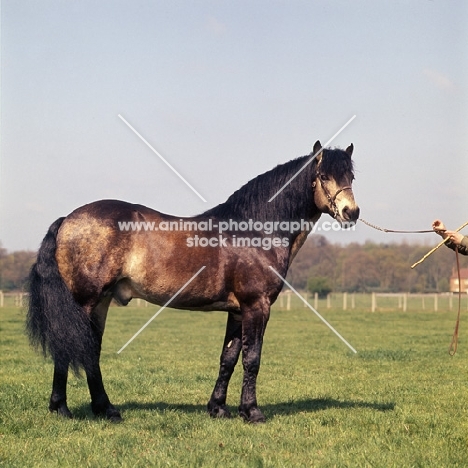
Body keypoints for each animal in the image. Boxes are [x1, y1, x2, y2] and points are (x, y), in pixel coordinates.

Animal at [27, 140, 360, 424]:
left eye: (351, 176)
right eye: (323, 175)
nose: (351, 212)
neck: (254, 231)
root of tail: (68, 219)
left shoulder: (237, 311)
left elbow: (229, 357)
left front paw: (218, 408)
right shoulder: (256, 306)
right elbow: (252, 358)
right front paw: (252, 412)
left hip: (100, 303)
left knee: (90, 350)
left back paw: (106, 409)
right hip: (84, 301)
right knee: (70, 346)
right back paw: (62, 409)